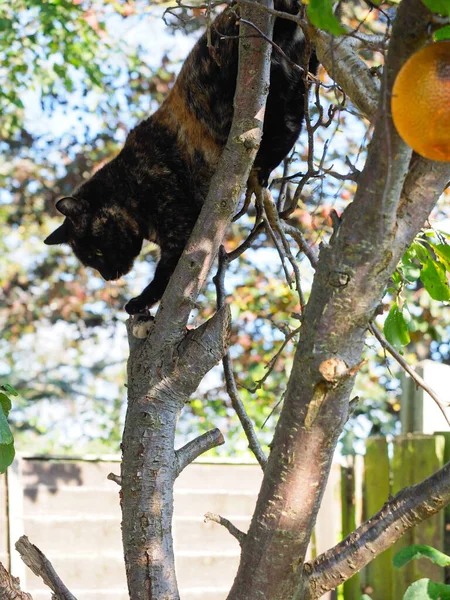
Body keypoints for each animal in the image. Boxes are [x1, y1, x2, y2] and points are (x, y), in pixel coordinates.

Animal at [44, 0, 318, 316]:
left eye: (97, 252)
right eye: (90, 262)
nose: (108, 276)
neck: (127, 183)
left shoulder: (181, 230)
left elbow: (166, 277)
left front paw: (139, 301)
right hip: (296, 89)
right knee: (292, 126)